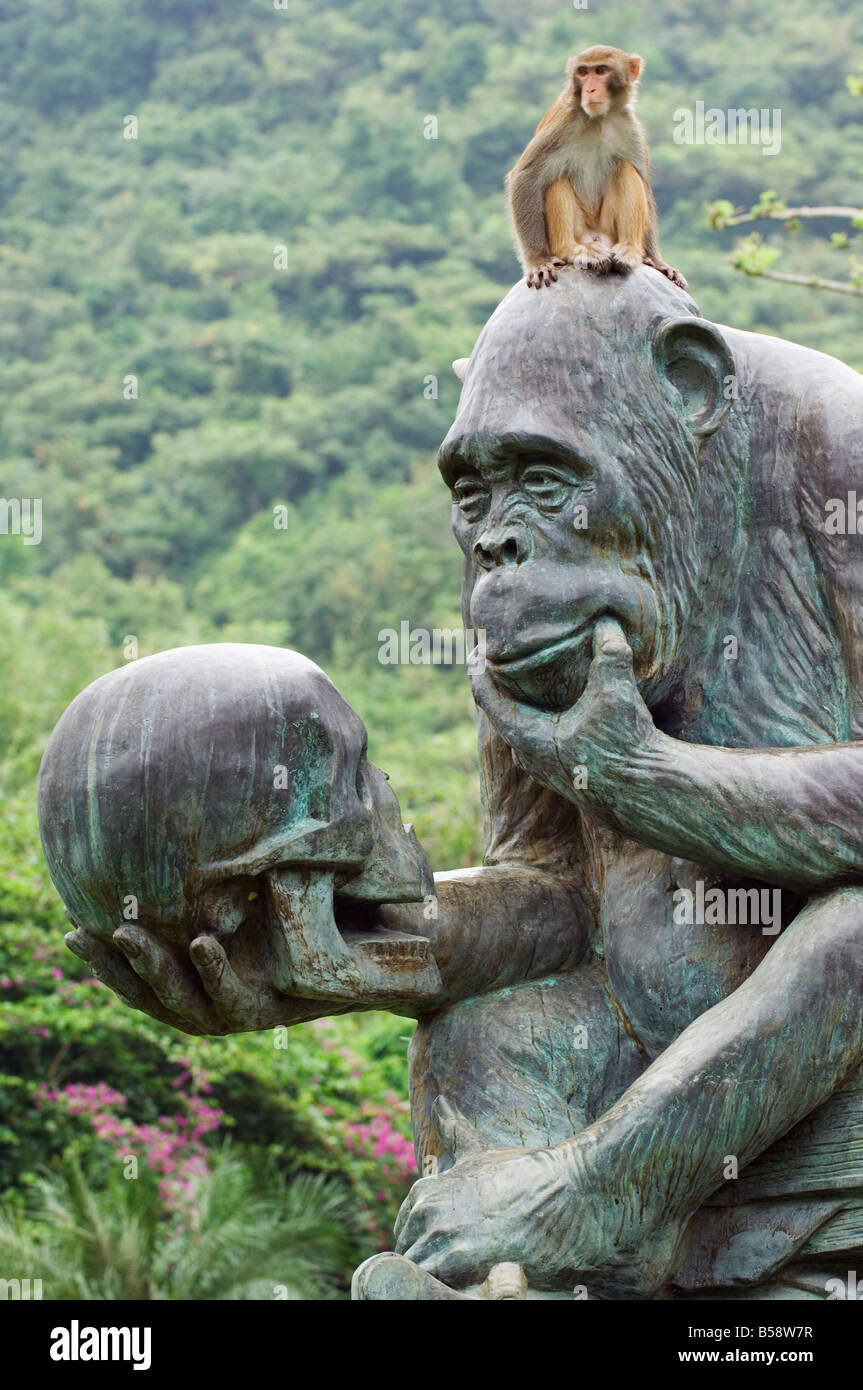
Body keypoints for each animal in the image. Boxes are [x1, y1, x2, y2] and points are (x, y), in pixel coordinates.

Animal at [506, 46, 686, 290]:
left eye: (601, 71)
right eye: (583, 72)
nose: (590, 89)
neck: (599, 120)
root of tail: (595, 238)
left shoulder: (631, 128)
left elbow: (644, 184)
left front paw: (657, 261)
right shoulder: (562, 124)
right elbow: (525, 177)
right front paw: (538, 261)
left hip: (609, 231)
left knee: (625, 167)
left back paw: (629, 250)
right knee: (556, 177)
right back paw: (573, 250)